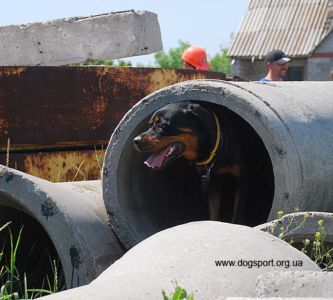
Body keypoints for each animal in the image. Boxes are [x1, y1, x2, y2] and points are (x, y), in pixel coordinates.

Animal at [132, 102, 262, 224]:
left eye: (162, 125)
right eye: (150, 124)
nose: (135, 141)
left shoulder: (241, 181)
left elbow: (237, 214)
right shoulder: (212, 183)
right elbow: (213, 213)